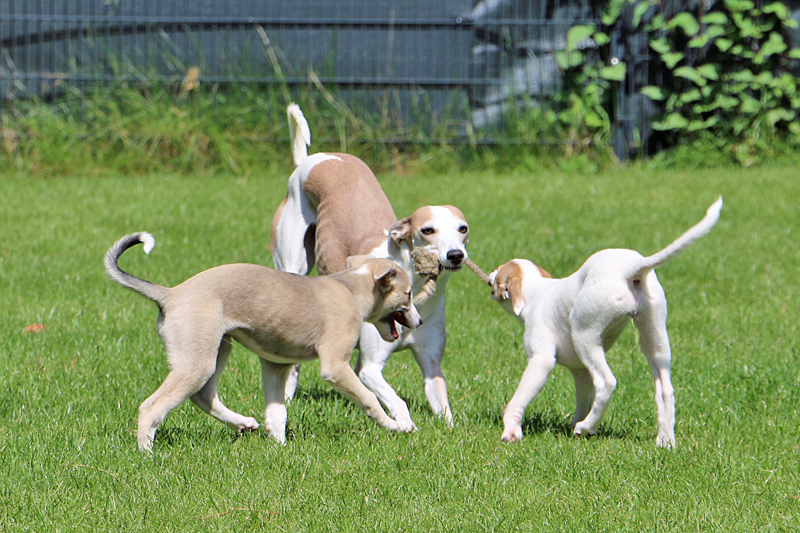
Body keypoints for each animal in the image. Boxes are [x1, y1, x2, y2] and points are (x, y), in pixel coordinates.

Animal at [104, 232, 424, 448]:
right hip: (197, 359)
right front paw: (396, 426)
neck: (350, 288)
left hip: (219, 348)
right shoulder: (335, 366)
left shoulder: (275, 365)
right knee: (151, 407)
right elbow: (368, 398)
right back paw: (146, 453)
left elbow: (277, 412)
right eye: (408, 294)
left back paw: (242, 423)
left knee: (203, 396)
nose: (420, 322)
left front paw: (280, 448)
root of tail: (171, 294)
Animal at [268, 103, 468, 428]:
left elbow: (443, 407)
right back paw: (285, 397)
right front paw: (405, 426)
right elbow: (396, 400)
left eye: (463, 228)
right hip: (291, 262)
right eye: (427, 230)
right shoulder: (370, 368)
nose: (455, 255)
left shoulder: (431, 362)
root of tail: (309, 160)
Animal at [488, 197, 724, 446]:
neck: (535, 290)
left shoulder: (541, 360)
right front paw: (576, 423)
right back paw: (664, 440)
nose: (490, 274)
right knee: (664, 390)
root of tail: (631, 268)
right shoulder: (580, 371)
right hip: (655, 337)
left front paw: (511, 431)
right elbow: (583, 399)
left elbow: (518, 400)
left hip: (585, 334)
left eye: (499, 274)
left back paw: (587, 427)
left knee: (607, 382)